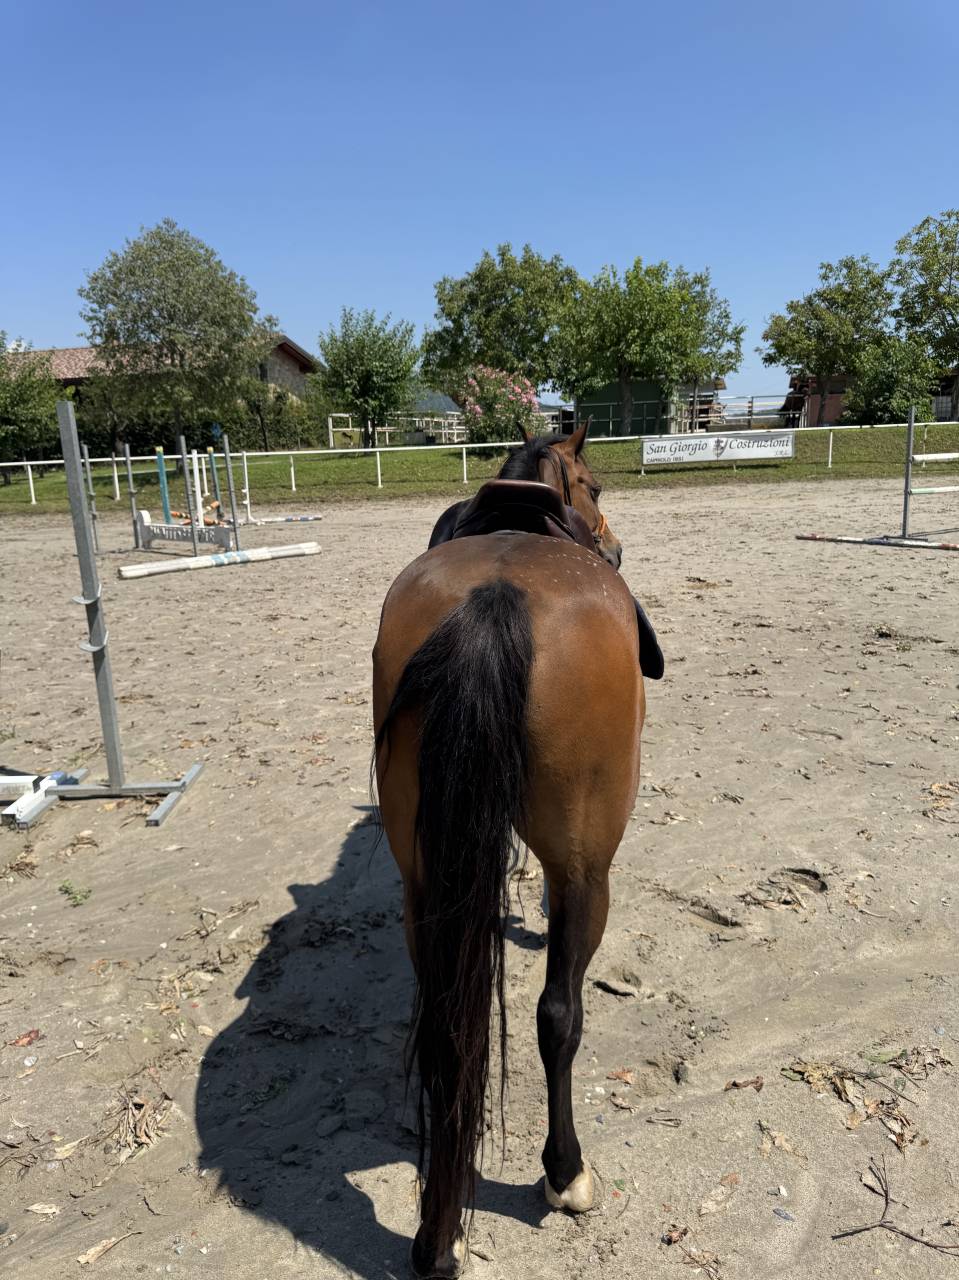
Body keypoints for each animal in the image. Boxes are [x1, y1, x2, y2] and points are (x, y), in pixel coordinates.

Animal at [372, 422, 650, 1278]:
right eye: (593, 485)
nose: (614, 545)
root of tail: (494, 600)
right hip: (588, 870)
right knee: (558, 1014)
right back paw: (565, 1173)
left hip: (423, 885)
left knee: (445, 1028)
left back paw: (439, 1231)